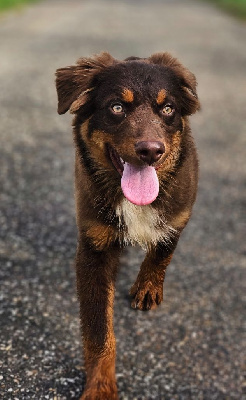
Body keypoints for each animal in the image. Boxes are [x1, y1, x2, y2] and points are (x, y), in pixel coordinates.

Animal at [54, 51, 199, 398]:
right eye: (117, 107)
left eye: (168, 109)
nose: (151, 151)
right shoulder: (93, 247)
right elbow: (98, 331)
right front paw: (101, 387)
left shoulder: (180, 213)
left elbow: (163, 250)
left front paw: (148, 288)